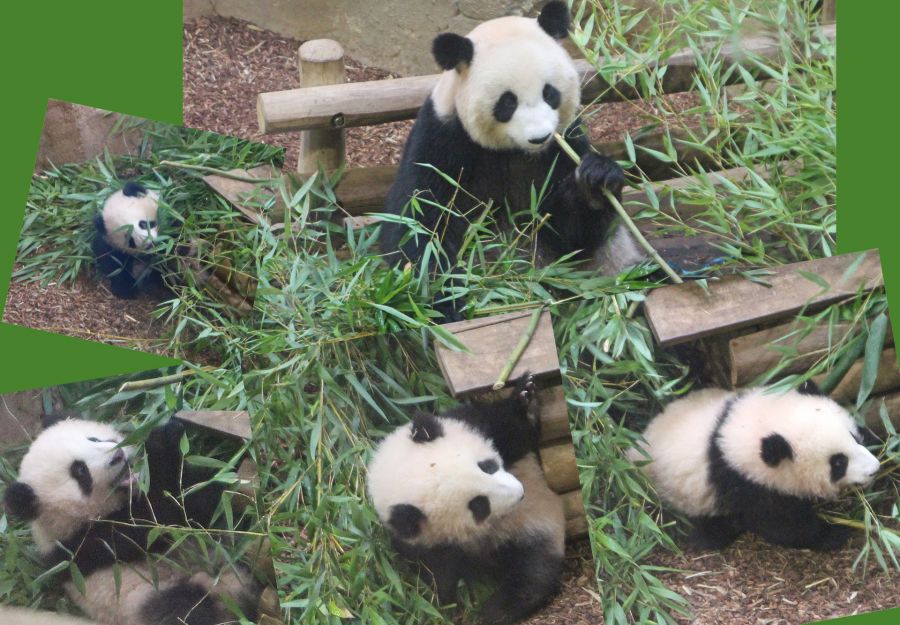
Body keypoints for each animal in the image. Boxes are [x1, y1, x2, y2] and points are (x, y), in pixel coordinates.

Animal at [2, 414, 260, 624]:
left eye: (93, 439)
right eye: (80, 471)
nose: (117, 455)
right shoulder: (90, 544)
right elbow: (171, 514)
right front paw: (162, 442)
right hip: (145, 599)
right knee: (185, 612)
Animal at [366, 372, 564, 620]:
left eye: (487, 466)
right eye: (478, 506)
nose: (521, 493)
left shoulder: (470, 423)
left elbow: (513, 431)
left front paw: (525, 396)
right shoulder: (421, 545)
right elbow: (439, 579)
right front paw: (453, 605)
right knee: (530, 573)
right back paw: (497, 609)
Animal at [376, 0, 644, 320]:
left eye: (549, 93)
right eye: (507, 102)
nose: (540, 137)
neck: (513, 151)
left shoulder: (565, 143)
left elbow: (572, 235)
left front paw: (595, 181)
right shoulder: (441, 140)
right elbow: (418, 223)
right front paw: (448, 300)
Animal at [628, 380, 884, 552]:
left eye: (854, 437)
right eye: (838, 462)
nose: (875, 469)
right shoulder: (745, 483)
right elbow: (781, 524)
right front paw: (836, 533)